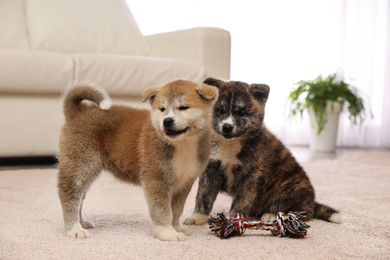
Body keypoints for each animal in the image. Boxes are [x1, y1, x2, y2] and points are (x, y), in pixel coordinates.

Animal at [56, 80, 218, 241]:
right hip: (81, 165)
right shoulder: (156, 181)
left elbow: (176, 210)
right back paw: (74, 229)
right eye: (162, 109)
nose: (167, 121)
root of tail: (77, 112)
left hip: (88, 171)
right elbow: (162, 211)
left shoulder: (184, 183)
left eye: (183, 107)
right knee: (70, 197)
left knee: (80, 199)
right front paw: (167, 232)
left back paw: (81, 223)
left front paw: (176, 228)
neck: (181, 143)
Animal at [184, 77, 340, 225]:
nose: (227, 127)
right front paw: (198, 216)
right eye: (220, 110)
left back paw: (272, 215)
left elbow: (240, 202)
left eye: (241, 112)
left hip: (292, 186)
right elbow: (204, 196)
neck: (230, 144)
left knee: (299, 211)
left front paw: (234, 221)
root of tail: (312, 203)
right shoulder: (210, 170)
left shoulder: (250, 176)